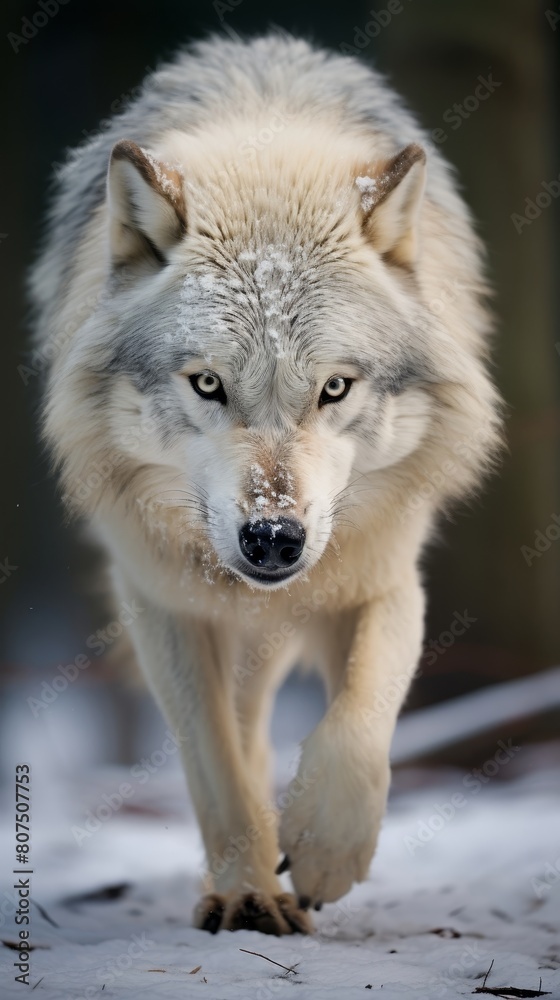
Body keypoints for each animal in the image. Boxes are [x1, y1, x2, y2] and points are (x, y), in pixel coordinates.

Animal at [30, 33, 500, 936]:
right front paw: (247, 891)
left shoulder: (386, 574)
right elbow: (214, 763)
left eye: (335, 388)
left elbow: (362, 716)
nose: (274, 539)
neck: (267, 151)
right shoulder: (162, 603)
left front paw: (323, 850)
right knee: (242, 738)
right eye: (208, 385)